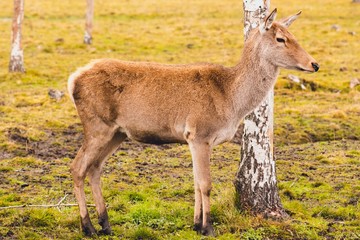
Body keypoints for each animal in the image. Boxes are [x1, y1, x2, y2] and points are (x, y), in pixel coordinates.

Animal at [68, 8, 320, 236]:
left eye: (293, 35)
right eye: (280, 38)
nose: (314, 64)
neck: (230, 100)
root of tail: (72, 80)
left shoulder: (193, 139)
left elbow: (196, 182)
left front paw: (197, 224)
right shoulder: (200, 134)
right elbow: (206, 183)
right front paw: (208, 228)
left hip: (117, 132)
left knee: (95, 168)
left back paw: (105, 224)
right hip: (97, 125)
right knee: (77, 167)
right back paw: (88, 227)